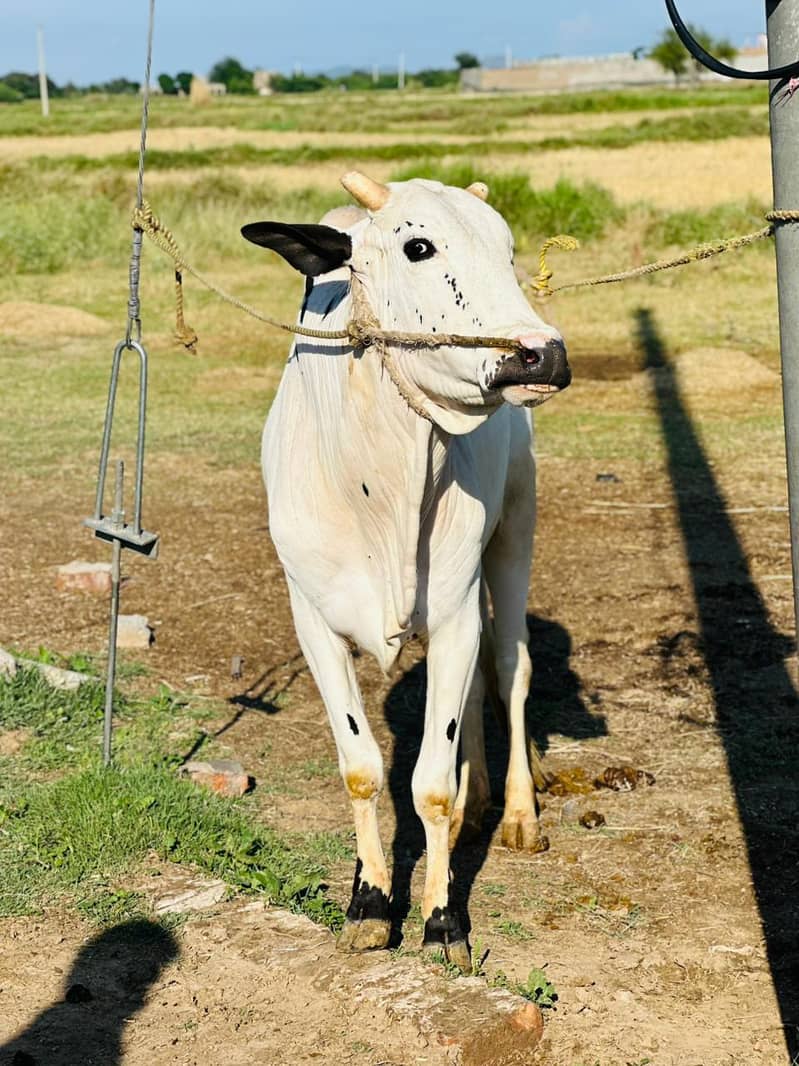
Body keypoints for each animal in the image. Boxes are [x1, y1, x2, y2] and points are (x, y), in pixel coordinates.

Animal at [242, 170, 571, 970]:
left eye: (508, 248)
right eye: (417, 246)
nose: (540, 354)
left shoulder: (451, 614)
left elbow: (430, 786)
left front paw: (442, 920)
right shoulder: (312, 622)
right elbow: (363, 766)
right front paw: (368, 900)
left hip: (512, 536)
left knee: (508, 668)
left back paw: (516, 810)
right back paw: (481, 796)